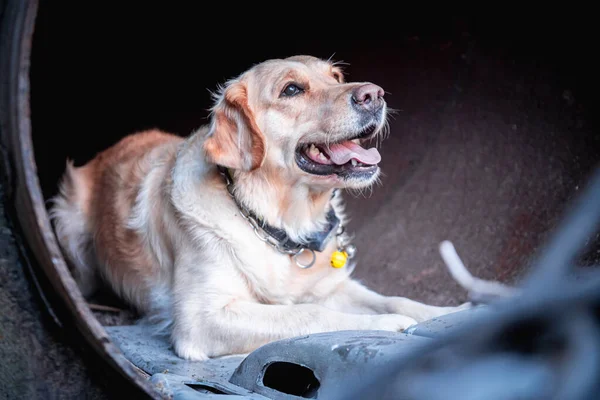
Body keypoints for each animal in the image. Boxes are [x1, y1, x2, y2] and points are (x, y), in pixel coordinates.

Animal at [49, 55, 466, 360]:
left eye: (335, 75)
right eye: (292, 89)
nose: (374, 94)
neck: (278, 225)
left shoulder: (330, 286)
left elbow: (393, 298)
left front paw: (448, 314)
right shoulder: (203, 318)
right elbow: (308, 313)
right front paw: (388, 325)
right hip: (68, 221)